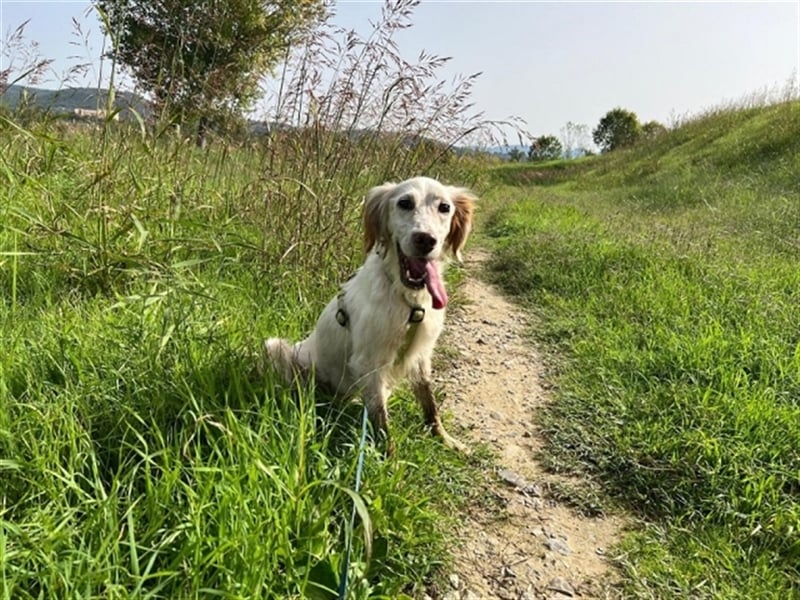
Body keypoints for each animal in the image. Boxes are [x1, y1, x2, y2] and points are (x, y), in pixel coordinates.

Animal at [262, 176, 476, 452]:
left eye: (444, 207)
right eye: (404, 203)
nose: (425, 239)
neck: (408, 300)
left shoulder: (421, 354)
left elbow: (429, 402)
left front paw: (444, 439)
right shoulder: (369, 362)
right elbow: (381, 419)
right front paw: (389, 457)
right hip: (276, 348)